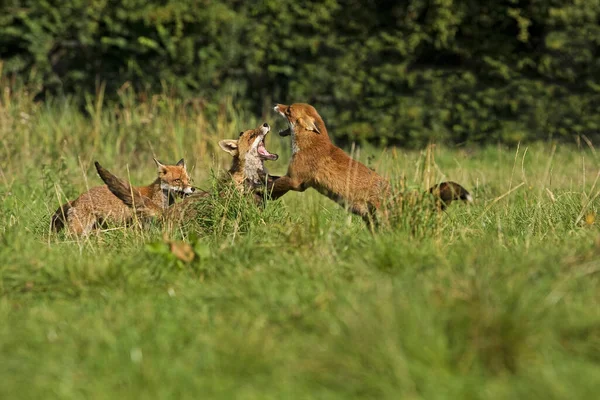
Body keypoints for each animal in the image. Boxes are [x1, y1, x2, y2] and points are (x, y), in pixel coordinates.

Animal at [268, 102, 474, 228]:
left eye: (288, 110)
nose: (276, 105)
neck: (310, 144)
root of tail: (402, 196)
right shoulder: (301, 183)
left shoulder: (295, 180)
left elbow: (273, 185)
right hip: (371, 221)